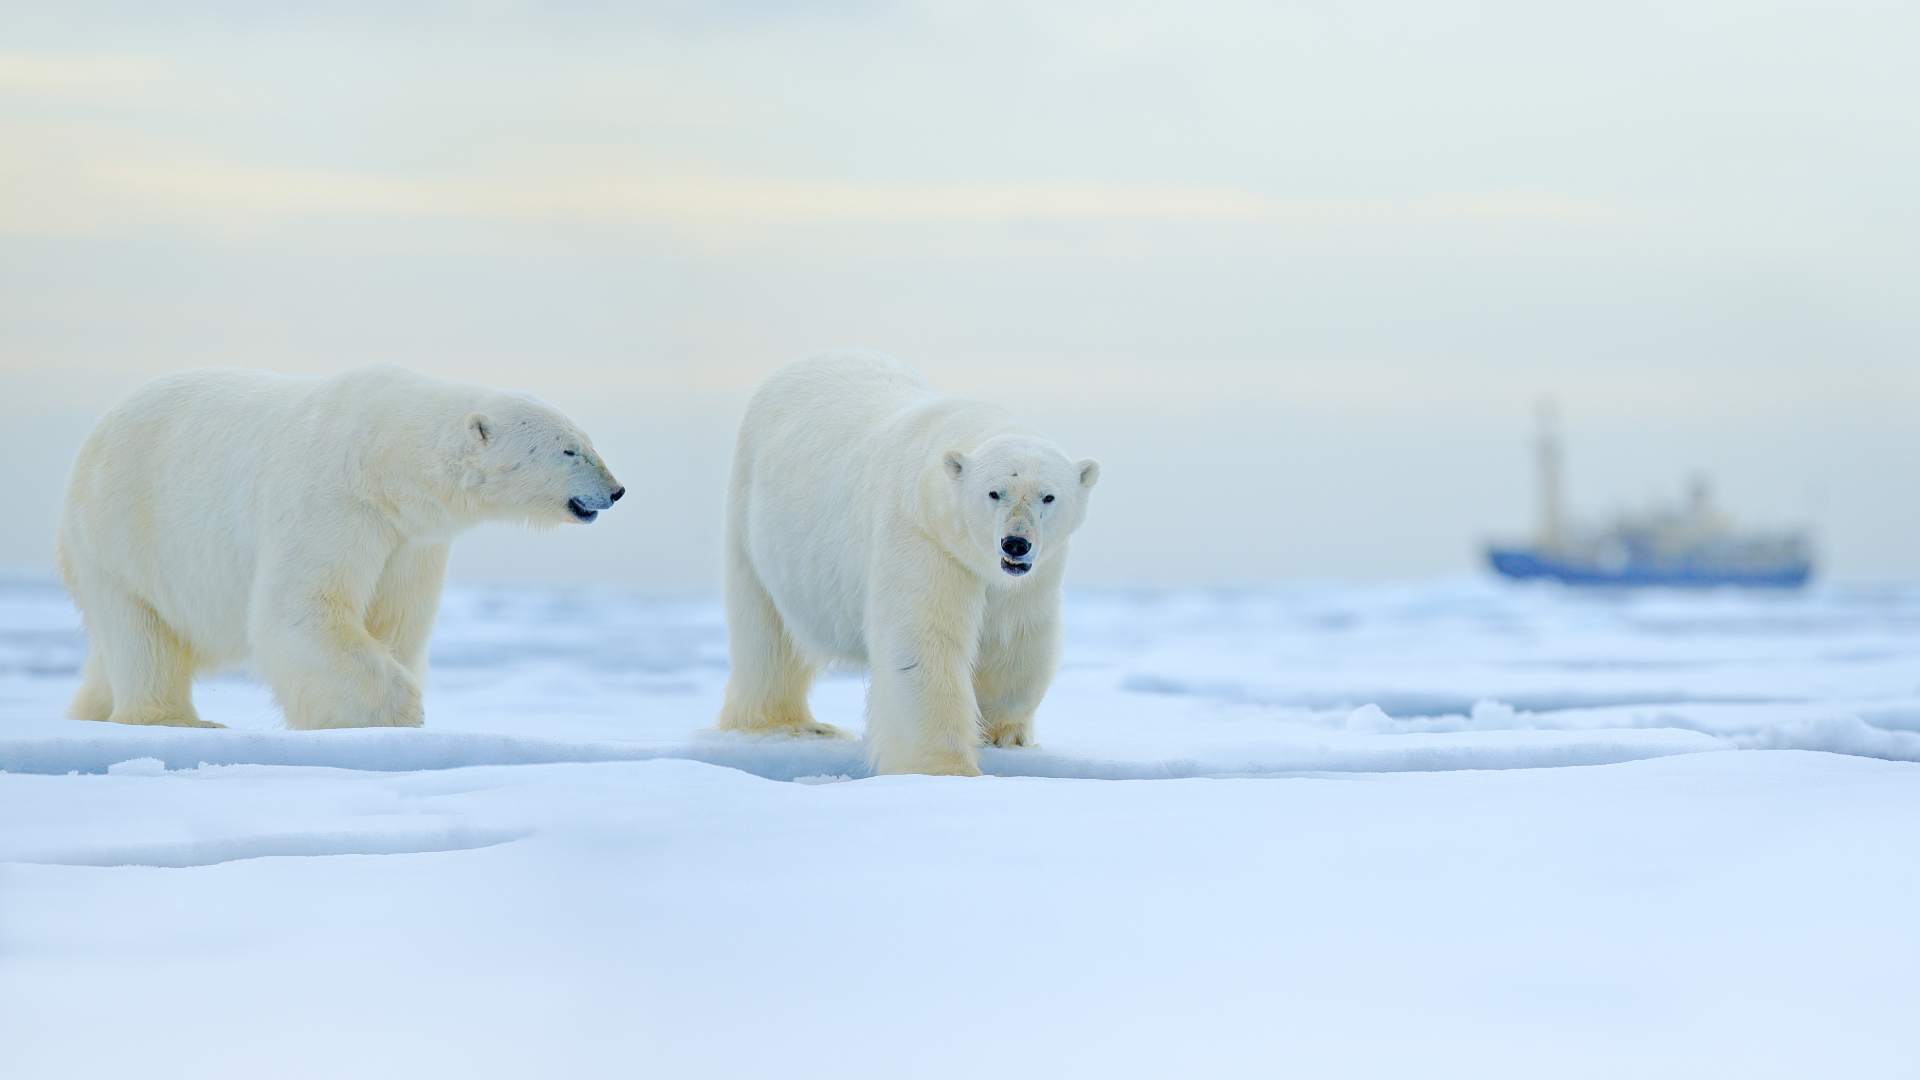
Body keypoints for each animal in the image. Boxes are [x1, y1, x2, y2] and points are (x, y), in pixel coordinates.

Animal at [57, 364, 623, 730]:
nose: (615, 490)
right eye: (568, 449)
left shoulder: (411, 538)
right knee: (141, 631)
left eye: (587, 440)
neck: (385, 459)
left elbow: (397, 618)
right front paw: (403, 710)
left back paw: (89, 712)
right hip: (122, 530)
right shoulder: (336, 503)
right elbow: (303, 605)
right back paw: (175, 721)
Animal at [718, 350, 1100, 776]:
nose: (1015, 543)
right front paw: (947, 768)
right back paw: (787, 725)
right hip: (751, 518)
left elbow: (1015, 636)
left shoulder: (1033, 574)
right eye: (994, 492)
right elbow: (922, 644)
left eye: (1048, 496)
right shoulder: (921, 537)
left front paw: (1003, 734)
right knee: (764, 633)